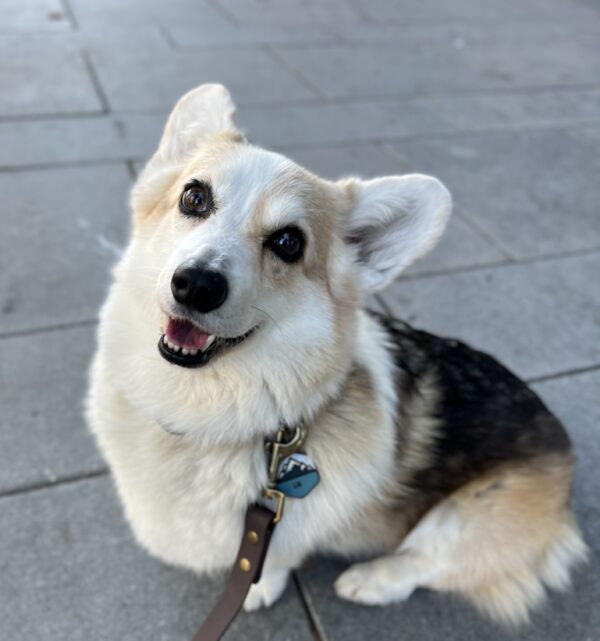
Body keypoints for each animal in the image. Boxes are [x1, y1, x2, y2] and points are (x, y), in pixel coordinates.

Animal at [86, 82, 588, 624]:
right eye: (194, 197)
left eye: (288, 242)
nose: (197, 284)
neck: (202, 419)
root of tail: (565, 456)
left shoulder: (282, 528)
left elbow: (276, 558)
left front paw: (258, 588)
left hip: (466, 514)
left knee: (429, 561)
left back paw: (368, 580)